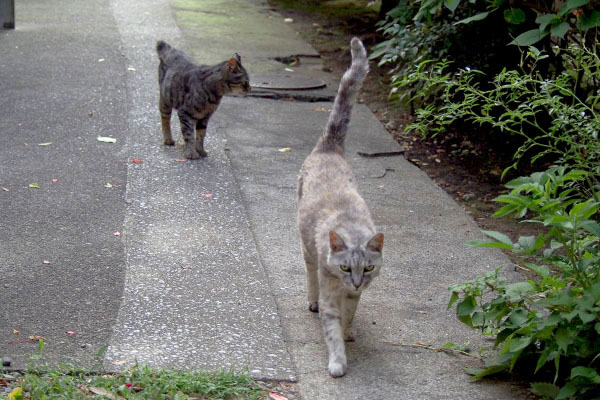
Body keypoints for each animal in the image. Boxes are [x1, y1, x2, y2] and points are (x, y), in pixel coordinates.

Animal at [296, 38, 384, 378]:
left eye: (368, 268)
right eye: (345, 267)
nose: (357, 281)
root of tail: (330, 147)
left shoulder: (354, 295)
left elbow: (350, 315)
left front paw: (349, 331)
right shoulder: (332, 291)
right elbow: (331, 328)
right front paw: (337, 360)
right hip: (307, 249)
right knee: (309, 274)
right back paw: (311, 300)